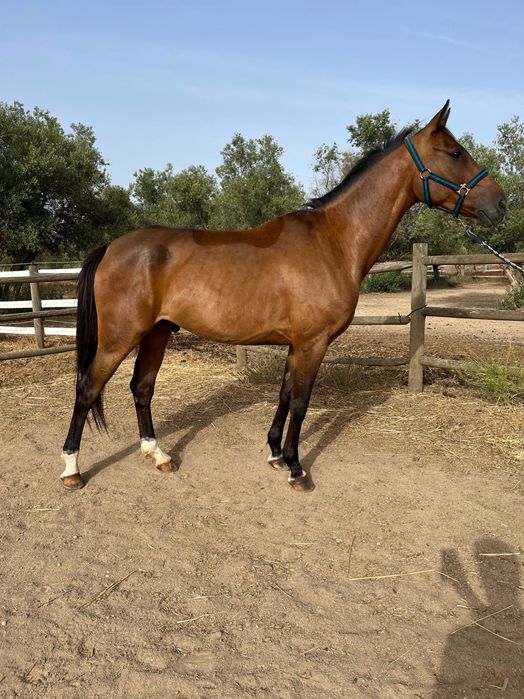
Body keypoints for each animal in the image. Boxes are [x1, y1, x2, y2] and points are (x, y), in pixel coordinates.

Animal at [60, 101, 506, 492]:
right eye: (455, 152)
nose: (501, 203)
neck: (332, 241)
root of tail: (112, 247)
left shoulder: (296, 344)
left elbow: (285, 394)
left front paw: (275, 453)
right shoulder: (313, 343)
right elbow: (302, 403)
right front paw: (296, 468)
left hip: (157, 333)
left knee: (142, 388)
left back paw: (158, 456)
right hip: (120, 338)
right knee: (87, 389)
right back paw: (71, 470)